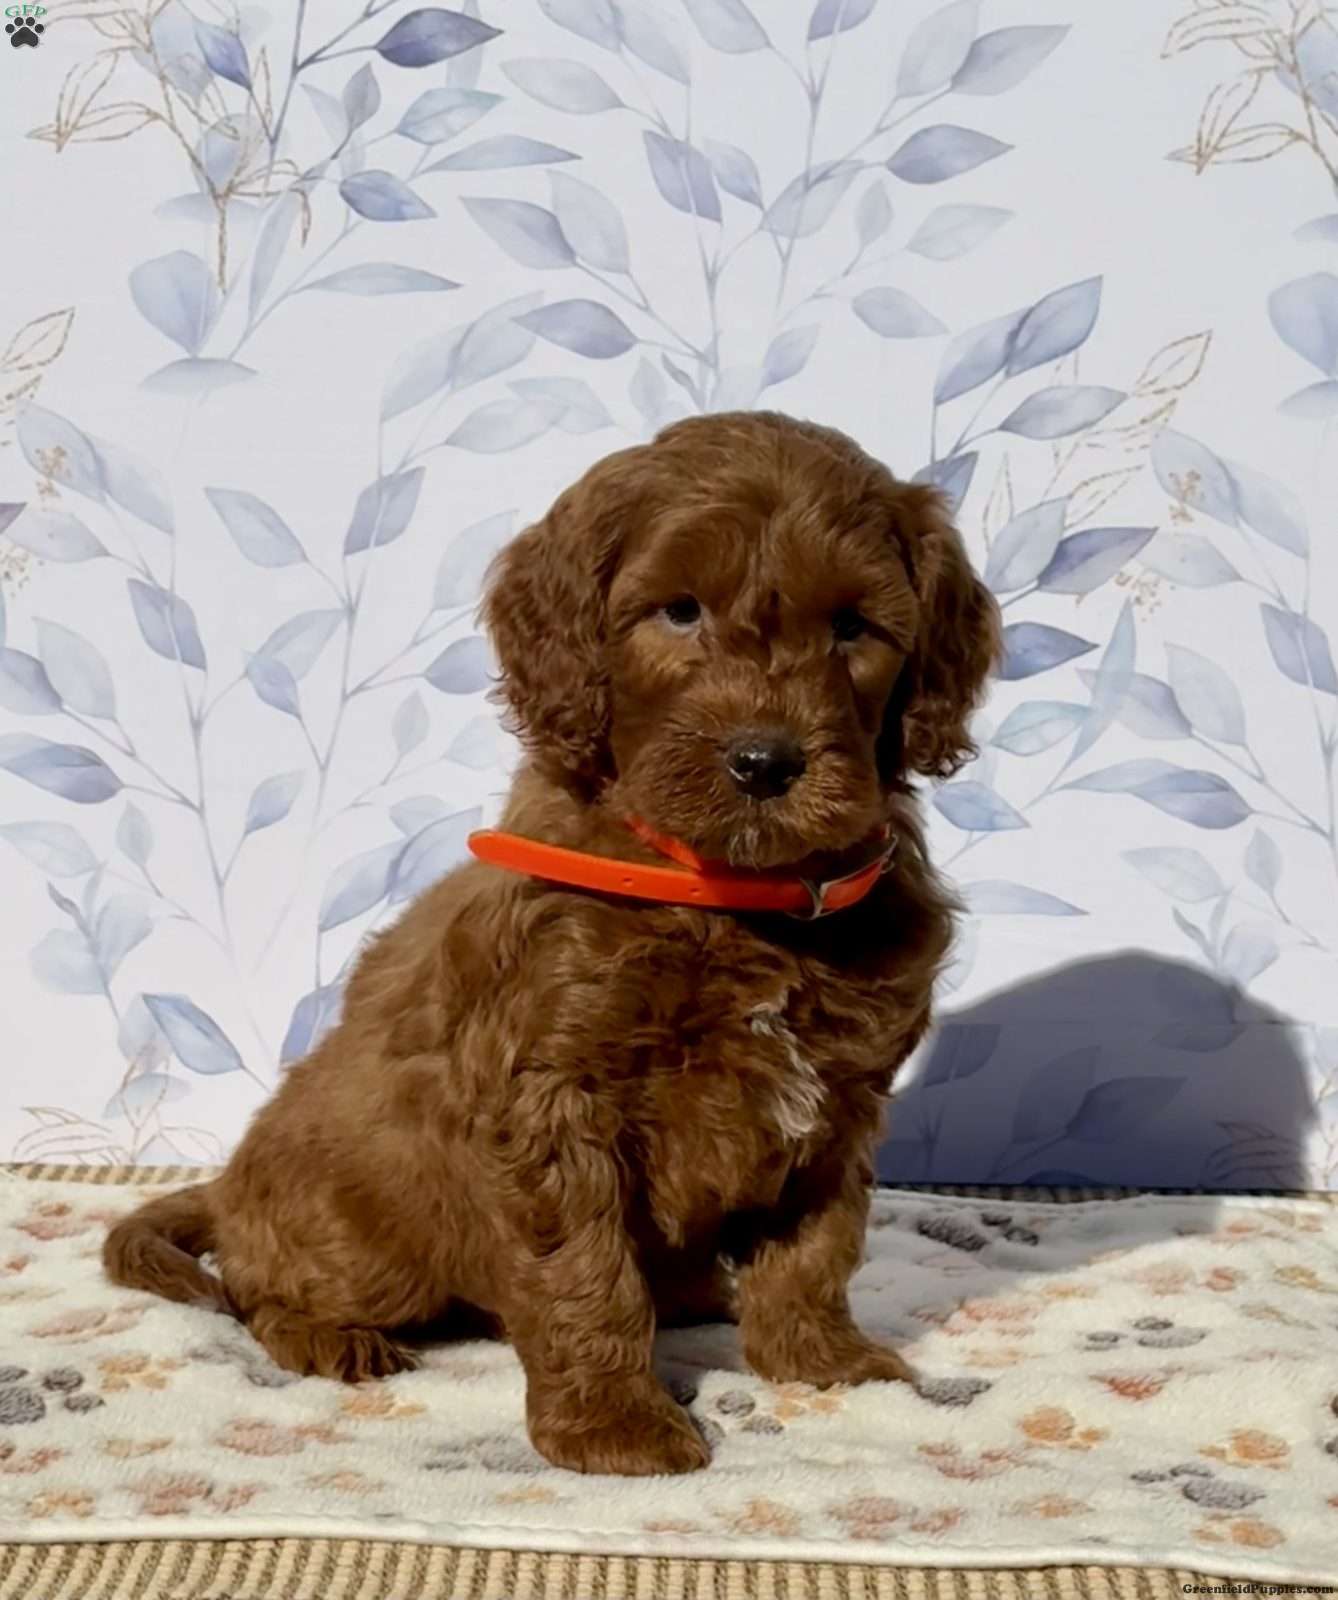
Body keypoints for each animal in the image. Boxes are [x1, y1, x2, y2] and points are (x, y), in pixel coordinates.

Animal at [105, 411, 1000, 1477]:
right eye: (679, 612)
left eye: (853, 628)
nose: (765, 761)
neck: (733, 897)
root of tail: (227, 1187)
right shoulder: (549, 1097)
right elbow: (583, 1271)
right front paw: (615, 1427)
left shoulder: (841, 1095)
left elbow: (819, 1244)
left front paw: (820, 1361)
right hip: (364, 1236)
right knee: (253, 1288)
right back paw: (329, 1336)